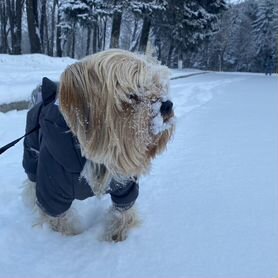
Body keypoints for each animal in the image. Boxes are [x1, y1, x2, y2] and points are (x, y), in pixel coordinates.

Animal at [21, 49, 175, 241]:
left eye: (158, 86)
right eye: (132, 95)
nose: (167, 105)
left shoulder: (124, 183)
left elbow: (123, 210)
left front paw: (117, 235)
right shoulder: (52, 189)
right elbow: (58, 219)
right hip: (30, 153)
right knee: (31, 178)